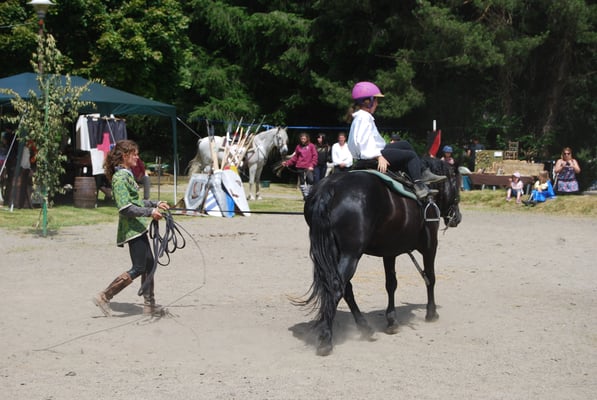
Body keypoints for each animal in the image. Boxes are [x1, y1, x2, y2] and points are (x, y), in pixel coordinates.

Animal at [300, 158, 462, 356]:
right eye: (458, 186)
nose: (457, 217)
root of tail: (330, 188)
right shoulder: (430, 246)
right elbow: (430, 278)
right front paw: (431, 313)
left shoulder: (389, 251)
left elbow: (391, 284)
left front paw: (392, 321)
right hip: (350, 254)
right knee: (337, 287)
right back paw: (326, 339)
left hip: (333, 252)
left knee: (345, 288)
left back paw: (365, 328)